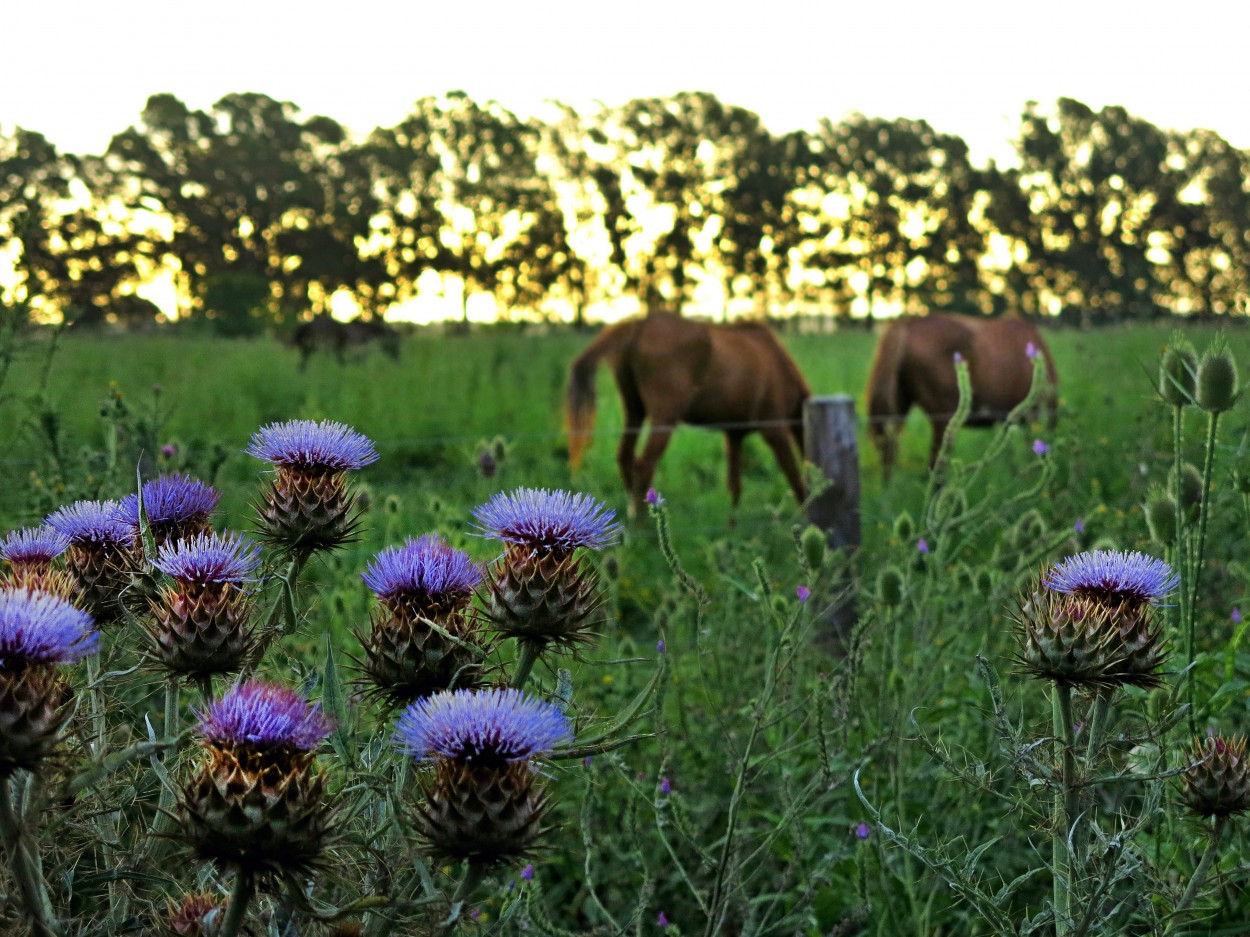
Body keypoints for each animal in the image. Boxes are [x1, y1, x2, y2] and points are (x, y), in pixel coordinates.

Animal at [567, 313, 810, 514]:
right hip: (664, 418)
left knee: (625, 458)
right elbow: (796, 480)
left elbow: (734, 489)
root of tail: (639, 325)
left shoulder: (734, 435)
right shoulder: (774, 430)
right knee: (643, 466)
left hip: (634, 410)